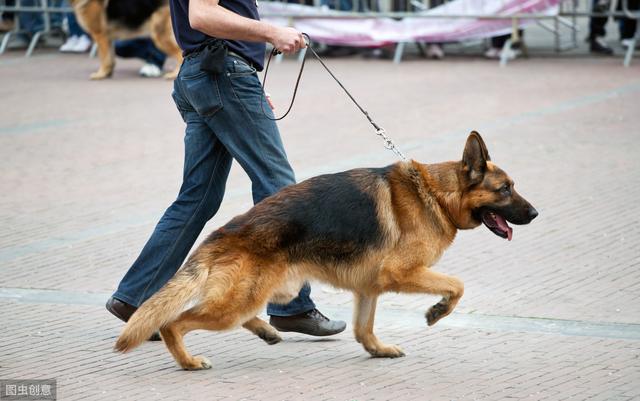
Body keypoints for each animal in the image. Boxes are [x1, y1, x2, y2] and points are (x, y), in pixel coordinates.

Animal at [114, 132, 536, 368]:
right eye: (505, 190)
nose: (535, 213)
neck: (435, 193)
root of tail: (223, 232)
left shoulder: (369, 288)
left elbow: (364, 329)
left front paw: (378, 350)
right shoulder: (402, 273)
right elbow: (458, 285)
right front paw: (437, 311)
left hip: (267, 292)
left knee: (240, 315)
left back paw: (266, 331)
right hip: (237, 302)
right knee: (174, 322)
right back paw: (188, 361)